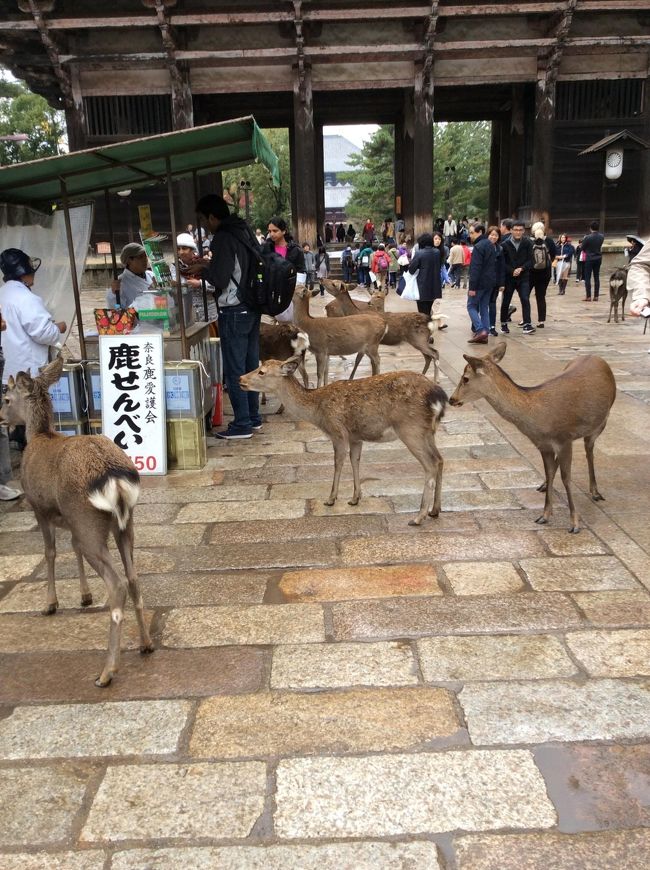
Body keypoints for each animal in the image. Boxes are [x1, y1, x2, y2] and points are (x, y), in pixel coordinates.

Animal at [0, 357, 153, 687]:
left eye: (6, 398)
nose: (1, 418)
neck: (39, 435)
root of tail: (113, 478)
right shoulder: (70, 521)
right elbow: (73, 548)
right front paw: (84, 596)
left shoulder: (39, 507)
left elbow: (50, 552)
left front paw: (50, 603)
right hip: (123, 524)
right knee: (133, 577)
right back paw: (146, 644)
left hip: (88, 521)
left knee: (117, 584)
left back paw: (106, 672)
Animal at [240, 336, 447, 525]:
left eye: (261, 371)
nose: (240, 379)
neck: (317, 411)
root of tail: (439, 397)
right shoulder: (356, 436)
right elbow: (355, 461)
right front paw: (355, 498)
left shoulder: (337, 431)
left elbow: (338, 462)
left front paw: (331, 499)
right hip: (428, 431)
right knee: (440, 459)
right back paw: (435, 510)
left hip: (410, 429)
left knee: (430, 465)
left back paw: (419, 516)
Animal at [449, 342, 616, 533]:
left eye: (465, 378)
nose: (451, 399)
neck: (538, 419)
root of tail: (597, 357)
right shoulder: (543, 445)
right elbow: (549, 473)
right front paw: (544, 515)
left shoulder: (565, 439)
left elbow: (566, 478)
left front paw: (574, 524)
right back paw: (544, 486)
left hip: (601, 421)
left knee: (589, 451)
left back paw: (595, 492)